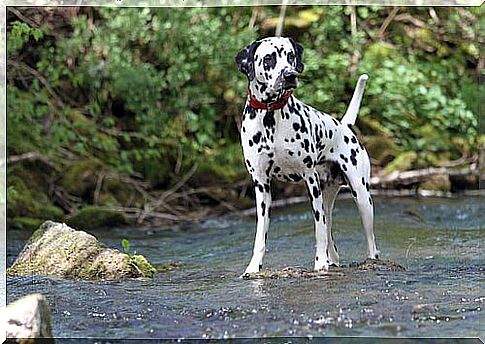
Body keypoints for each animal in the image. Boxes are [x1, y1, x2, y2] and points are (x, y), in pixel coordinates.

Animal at [236, 36, 380, 276]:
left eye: (290, 56)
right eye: (269, 58)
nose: (289, 75)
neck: (270, 117)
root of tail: (344, 126)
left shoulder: (310, 180)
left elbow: (318, 230)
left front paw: (319, 263)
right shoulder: (262, 187)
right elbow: (260, 237)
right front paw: (253, 267)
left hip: (362, 198)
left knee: (369, 243)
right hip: (327, 198)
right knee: (330, 232)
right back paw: (333, 260)